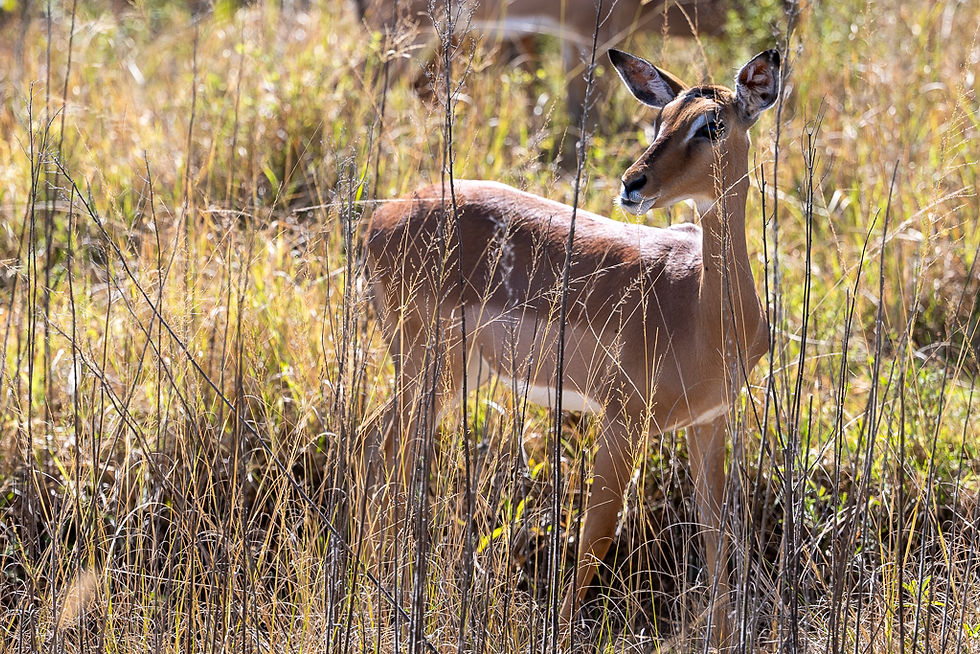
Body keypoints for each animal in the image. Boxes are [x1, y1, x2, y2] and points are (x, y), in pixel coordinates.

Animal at [365, 47, 780, 647]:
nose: (634, 182)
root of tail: (380, 216)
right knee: (376, 444)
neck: (706, 310)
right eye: (661, 118)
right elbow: (597, 532)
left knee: (386, 449)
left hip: (459, 374)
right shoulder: (623, 420)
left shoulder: (709, 421)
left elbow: (718, 534)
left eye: (713, 125)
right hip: (430, 368)